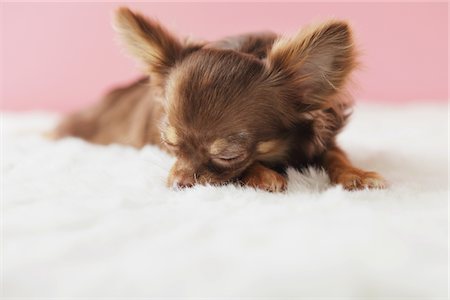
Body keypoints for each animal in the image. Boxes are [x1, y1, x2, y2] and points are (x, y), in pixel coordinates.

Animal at [52, 7, 386, 193]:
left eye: (228, 155)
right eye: (169, 144)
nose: (179, 184)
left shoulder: (321, 140)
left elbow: (336, 156)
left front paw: (357, 174)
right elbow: (252, 167)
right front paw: (263, 175)